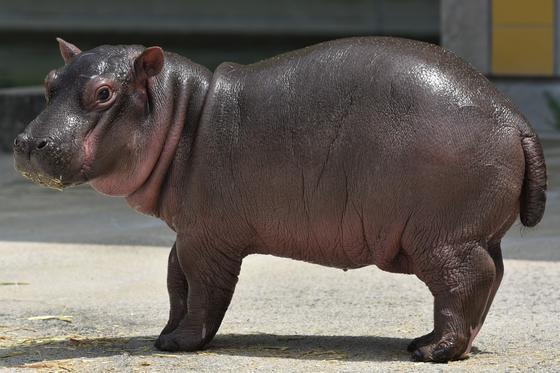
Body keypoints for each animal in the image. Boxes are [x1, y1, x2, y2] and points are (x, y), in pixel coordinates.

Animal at [14, 37, 548, 360]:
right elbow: (175, 280)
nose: (24, 143)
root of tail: (515, 119)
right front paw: (164, 337)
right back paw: (446, 343)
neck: (180, 112)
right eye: (49, 82)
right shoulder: (192, 230)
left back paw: (428, 351)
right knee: (492, 276)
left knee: (466, 281)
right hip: (472, 233)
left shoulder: (208, 239)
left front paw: (182, 344)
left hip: (442, 239)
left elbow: (203, 288)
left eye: (104, 93)